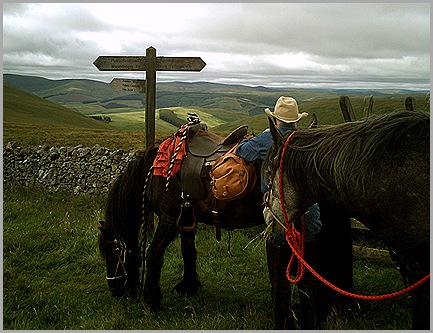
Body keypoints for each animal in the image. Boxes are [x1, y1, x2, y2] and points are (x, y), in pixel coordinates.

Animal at [97, 122, 264, 312]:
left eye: (111, 253)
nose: (115, 290)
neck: (154, 174)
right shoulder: (187, 218)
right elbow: (188, 250)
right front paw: (189, 286)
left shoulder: (169, 218)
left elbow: (154, 254)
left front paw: (151, 299)